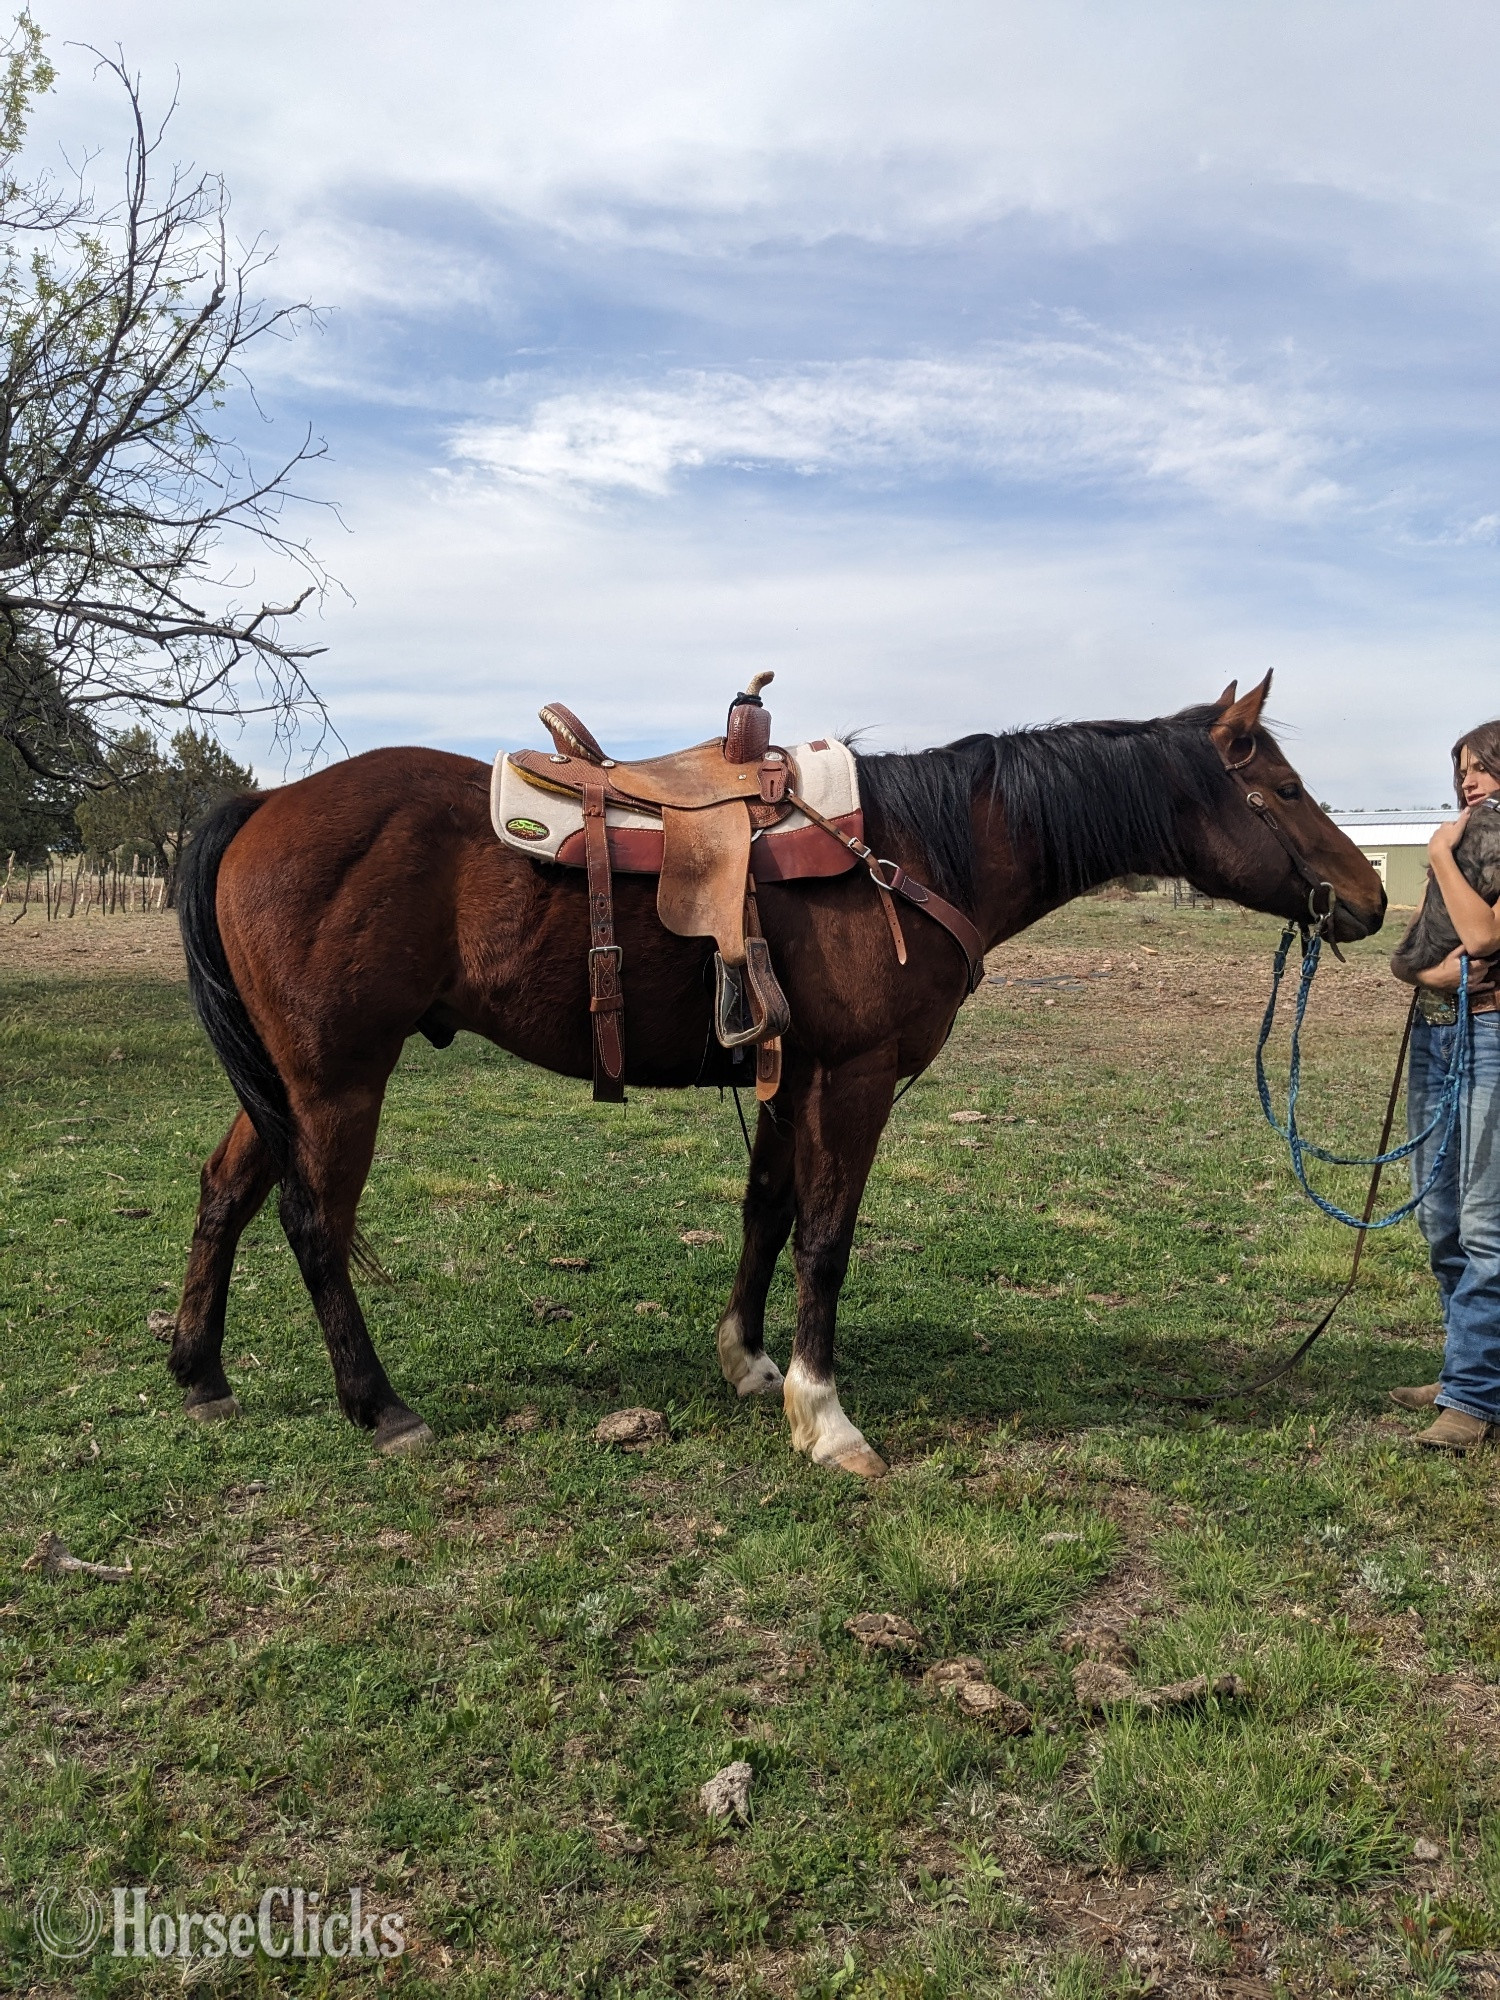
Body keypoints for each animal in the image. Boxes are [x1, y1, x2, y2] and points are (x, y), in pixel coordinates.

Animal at [170, 672, 1385, 1477]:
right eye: (1282, 786)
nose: (1372, 898)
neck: (911, 853)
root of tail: (264, 805)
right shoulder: (855, 1075)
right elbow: (826, 1238)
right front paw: (825, 1413)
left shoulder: (790, 1073)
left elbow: (766, 1210)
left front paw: (749, 1362)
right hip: (337, 1079)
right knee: (313, 1222)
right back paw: (378, 1405)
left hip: (282, 1084)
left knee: (224, 1190)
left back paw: (201, 1373)